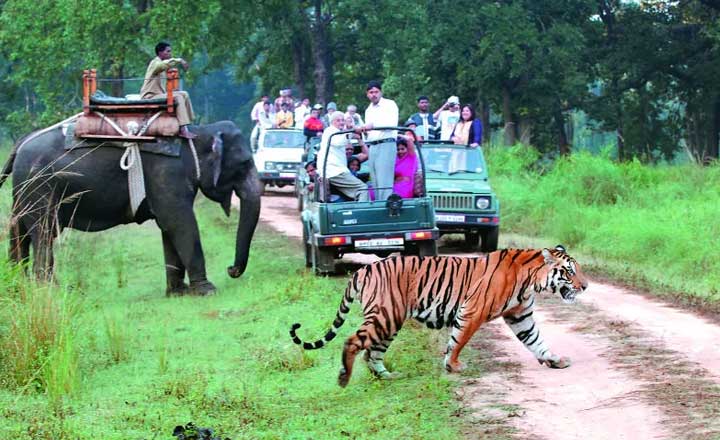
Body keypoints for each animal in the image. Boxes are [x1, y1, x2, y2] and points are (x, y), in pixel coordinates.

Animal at [0, 119, 262, 296]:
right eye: (244, 163)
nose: (231, 269)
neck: (198, 132)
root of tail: (21, 143)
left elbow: (169, 227)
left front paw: (178, 292)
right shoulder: (167, 173)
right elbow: (179, 222)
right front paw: (207, 290)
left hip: (23, 190)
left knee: (19, 232)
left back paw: (20, 286)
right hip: (40, 186)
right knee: (44, 232)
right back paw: (52, 290)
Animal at [290, 246, 588, 386]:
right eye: (569, 272)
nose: (585, 286)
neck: (531, 281)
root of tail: (363, 269)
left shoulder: (520, 316)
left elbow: (536, 340)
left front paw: (555, 360)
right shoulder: (472, 311)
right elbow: (458, 340)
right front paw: (453, 366)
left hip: (389, 320)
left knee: (371, 352)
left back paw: (387, 376)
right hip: (386, 316)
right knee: (353, 342)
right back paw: (343, 377)